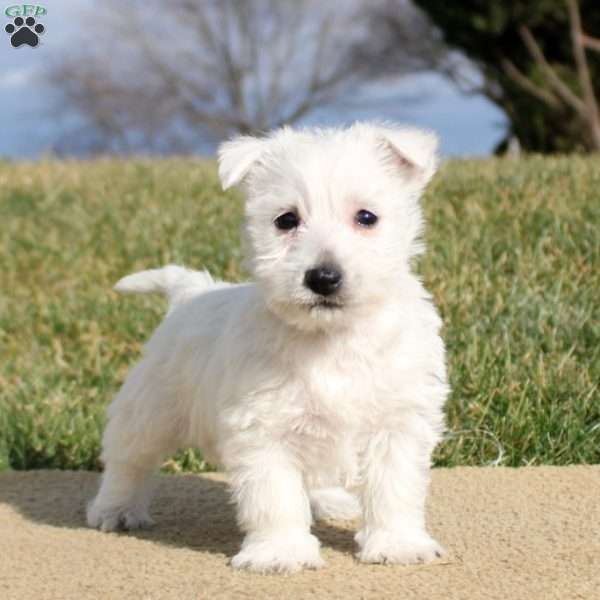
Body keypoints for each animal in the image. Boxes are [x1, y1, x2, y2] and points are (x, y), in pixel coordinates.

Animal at [86, 120, 448, 572]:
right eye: (286, 219)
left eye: (367, 217)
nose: (323, 278)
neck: (330, 338)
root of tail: (190, 292)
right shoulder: (265, 429)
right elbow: (275, 497)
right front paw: (281, 552)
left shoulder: (398, 423)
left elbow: (394, 489)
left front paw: (398, 544)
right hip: (151, 410)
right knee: (128, 460)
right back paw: (114, 509)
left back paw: (330, 501)